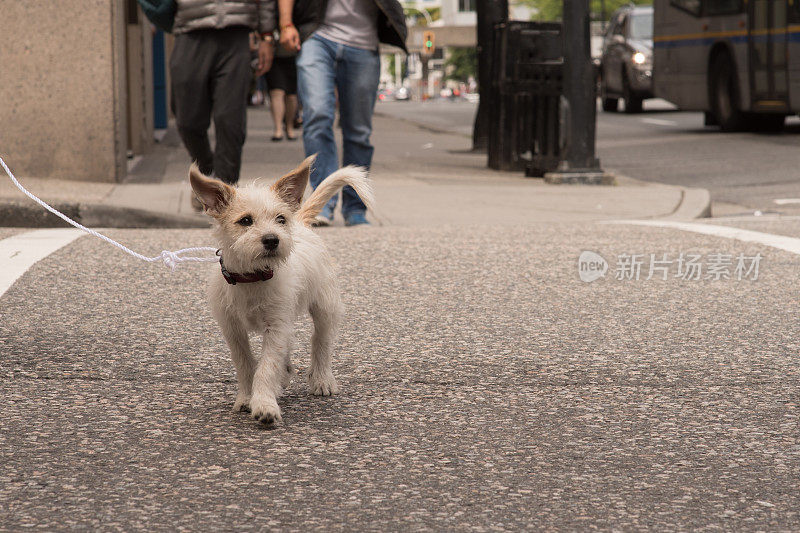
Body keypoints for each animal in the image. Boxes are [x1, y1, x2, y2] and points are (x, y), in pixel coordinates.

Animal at [189, 155, 374, 424]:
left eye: (280, 219)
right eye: (246, 220)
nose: (272, 239)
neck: (252, 278)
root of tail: (302, 223)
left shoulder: (275, 326)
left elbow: (267, 367)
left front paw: (265, 405)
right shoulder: (233, 329)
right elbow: (245, 364)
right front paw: (247, 398)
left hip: (325, 308)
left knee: (321, 341)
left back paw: (322, 379)